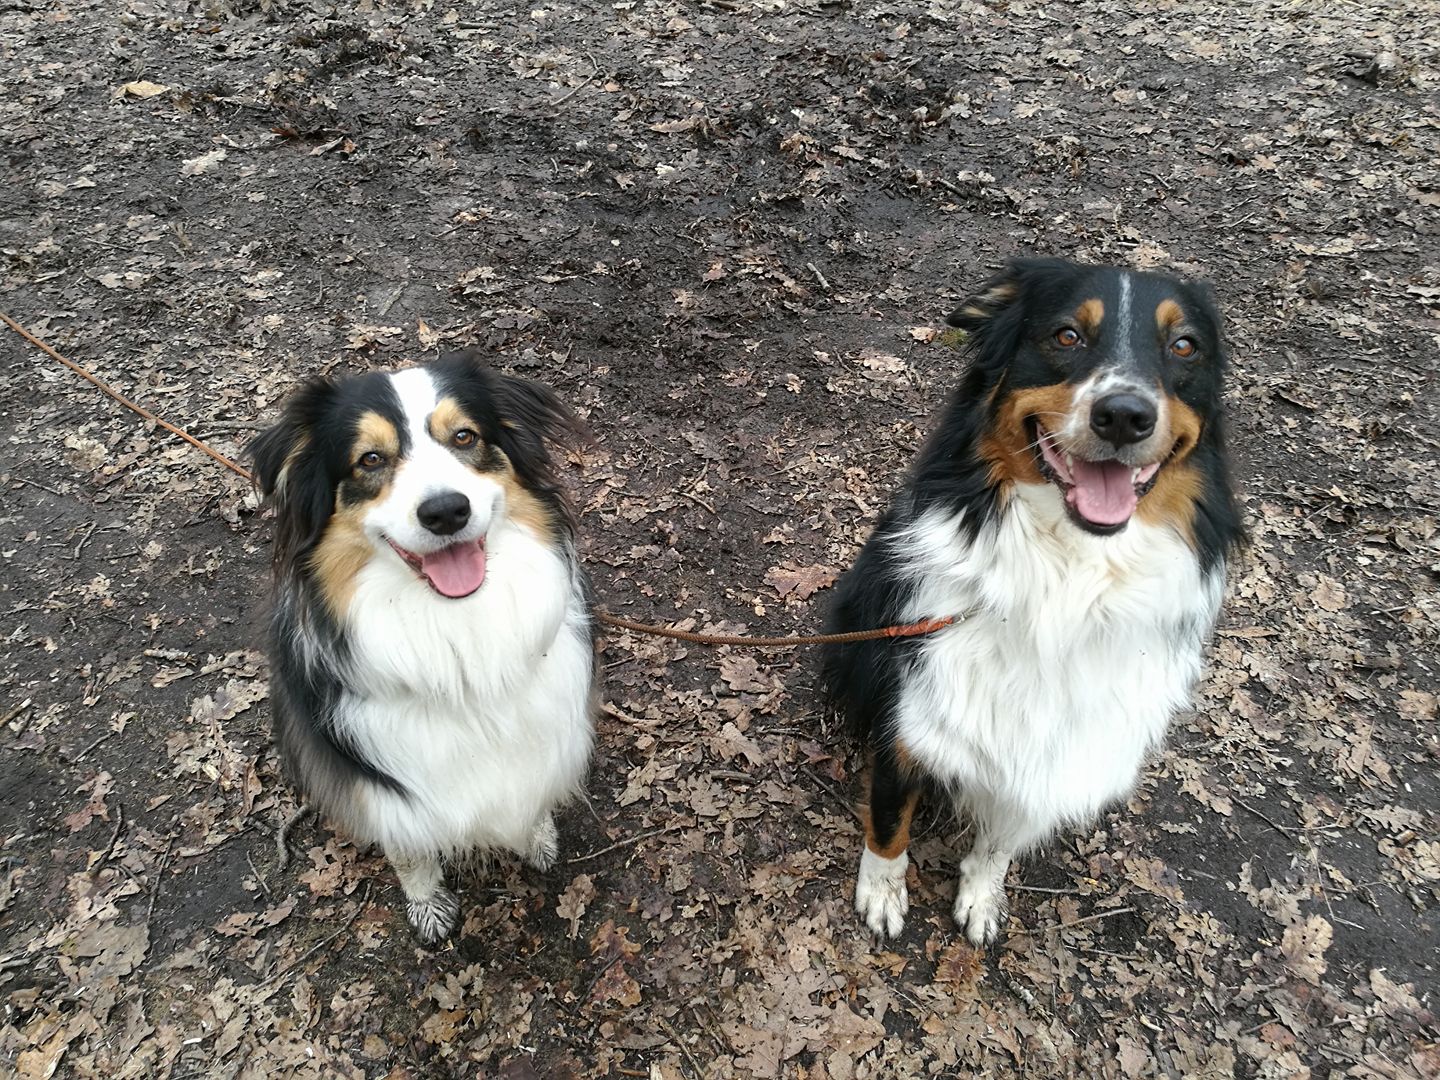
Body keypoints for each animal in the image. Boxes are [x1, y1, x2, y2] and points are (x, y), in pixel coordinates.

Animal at [250, 349, 594, 944]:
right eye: (369, 459)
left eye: (464, 436)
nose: (446, 511)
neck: (458, 642)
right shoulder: (385, 783)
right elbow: (410, 848)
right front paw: (428, 904)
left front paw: (537, 836)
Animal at [823, 258, 1242, 945]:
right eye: (1066, 336)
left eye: (1184, 347)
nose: (1124, 415)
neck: (1065, 576)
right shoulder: (908, 711)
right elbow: (889, 821)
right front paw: (881, 895)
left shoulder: (1054, 755)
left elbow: (1001, 840)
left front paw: (981, 897)